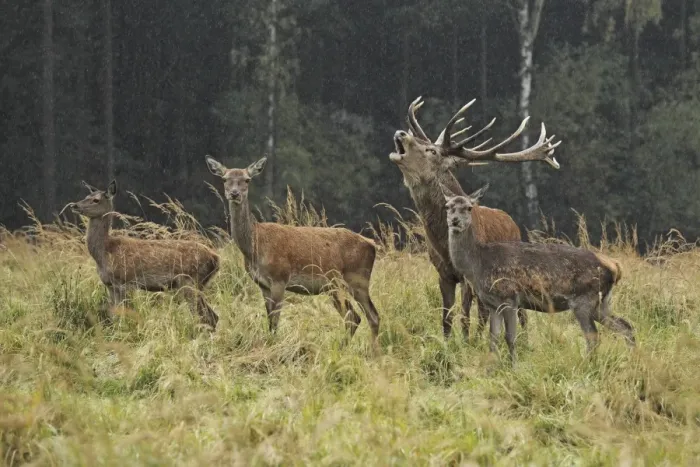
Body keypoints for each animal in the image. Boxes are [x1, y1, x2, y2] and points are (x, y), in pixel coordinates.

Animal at [61, 180, 220, 329]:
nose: (74, 205)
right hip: (196, 284)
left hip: (190, 281)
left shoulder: (126, 282)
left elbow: (124, 316)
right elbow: (114, 316)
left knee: (206, 316)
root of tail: (216, 258)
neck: (105, 252)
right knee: (212, 316)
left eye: (96, 200)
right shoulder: (110, 285)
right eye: (86, 196)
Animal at [205, 155, 381, 351]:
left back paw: (373, 351)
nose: (234, 193)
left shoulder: (279, 279)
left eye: (247, 179)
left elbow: (275, 321)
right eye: (224, 179)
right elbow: (269, 320)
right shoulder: (262, 284)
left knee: (372, 316)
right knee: (354, 317)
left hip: (357, 279)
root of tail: (372, 245)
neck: (255, 247)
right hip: (334, 286)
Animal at [389, 96, 560, 342]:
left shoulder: (470, 276)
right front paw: (449, 342)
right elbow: (447, 317)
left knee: (518, 312)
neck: (444, 245)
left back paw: (522, 340)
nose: (401, 133)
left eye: (431, 150)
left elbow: (465, 316)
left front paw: (467, 342)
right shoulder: (443, 273)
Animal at [443, 184, 635, 364]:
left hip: (584, 299)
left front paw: (514, 367)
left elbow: (510, 338)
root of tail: (615, 266)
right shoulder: (492, 304)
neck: (478, 265)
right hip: (602, 303)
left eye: (469, 207)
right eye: (447, 206)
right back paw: (631, 358)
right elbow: (493, 339)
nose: (454, 221)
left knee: (593, 336)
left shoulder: (509, 297)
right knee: (625, 325)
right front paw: (492, 369)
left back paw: (587, 364)